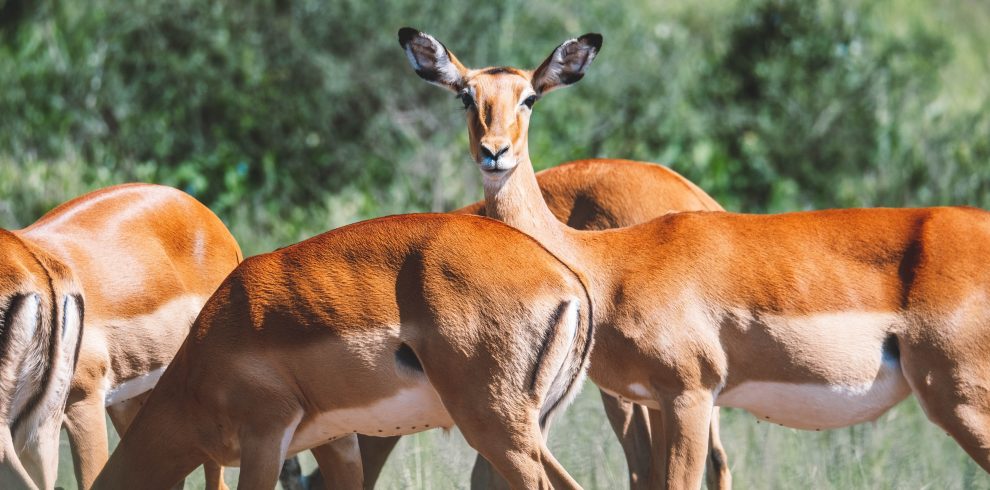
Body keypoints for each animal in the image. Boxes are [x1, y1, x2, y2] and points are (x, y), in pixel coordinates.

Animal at [400, 27, 990, 487]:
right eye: (465, 96)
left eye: (529, 97)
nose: (494, 153)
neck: (605, 263)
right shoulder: (659, 400)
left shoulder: (690, 394)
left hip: (963, 401)